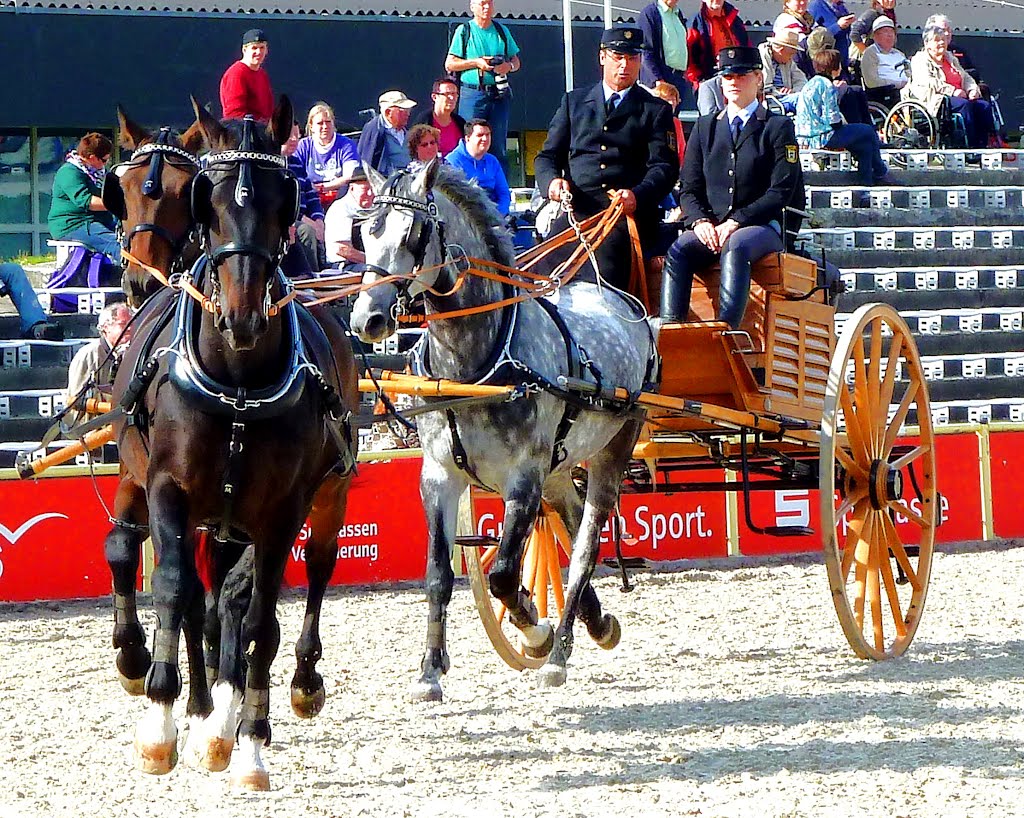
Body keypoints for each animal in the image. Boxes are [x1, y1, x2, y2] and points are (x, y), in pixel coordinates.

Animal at [107, 97, 360, 794]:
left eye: (281, 201)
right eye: (209, 200)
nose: (244, 315)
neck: (239, 374)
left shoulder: (281, 511)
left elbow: (259, 620)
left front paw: (247, 740)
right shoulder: (164, 487)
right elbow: (171, 587)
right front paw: (162, 718)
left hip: (324, 494)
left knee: (311, 572)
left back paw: (290, 685)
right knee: (190, 583)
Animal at [350, 162, 655, 700]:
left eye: (413, 234)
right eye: (366, 232)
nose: (367, 318)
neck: (474, 363)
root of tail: (619, 298)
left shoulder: (522, 479)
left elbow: (504, 576)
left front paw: (535, 628)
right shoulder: (439, 476)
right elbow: (437, 575)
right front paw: (430, 669)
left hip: (612, 447)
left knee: (584, 545)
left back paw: (558, 652)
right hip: (558, 465)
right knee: (570, 521)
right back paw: (597, 623)